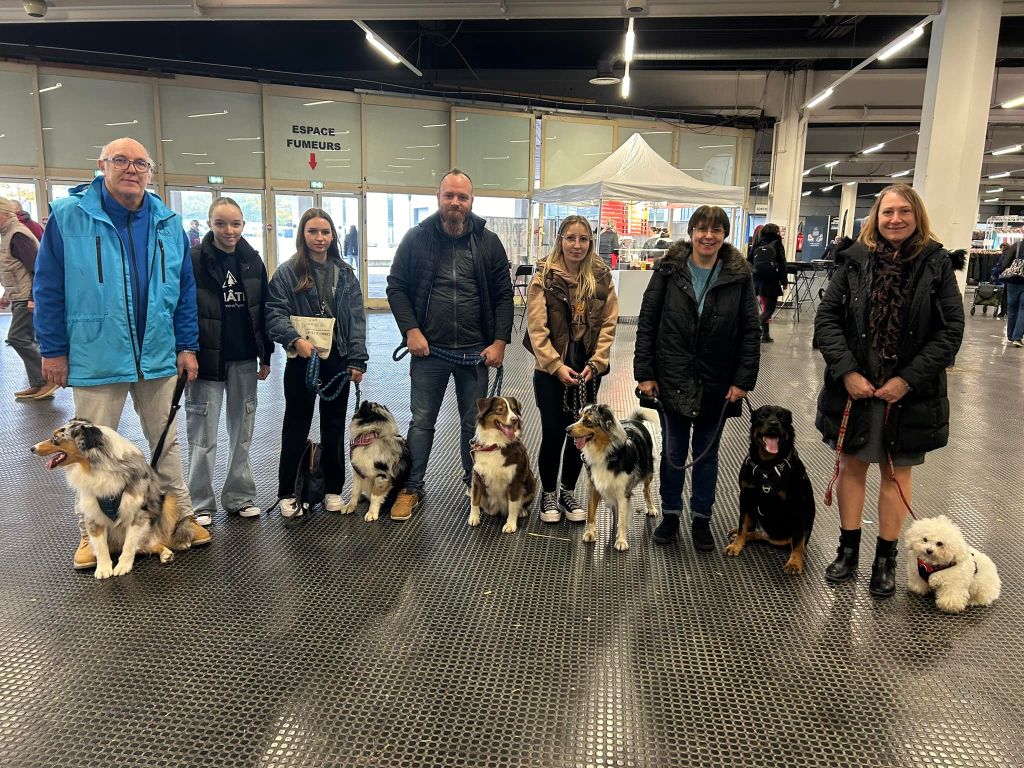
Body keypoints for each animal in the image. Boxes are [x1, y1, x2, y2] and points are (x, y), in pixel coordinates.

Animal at [729, 405, 815, 573]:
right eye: (763, 416)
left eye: (782, 417)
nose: (774, 424)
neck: (767, 465)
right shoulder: (745, 495)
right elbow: (743, 524)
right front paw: (736, 545)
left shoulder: (798, 505)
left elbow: (798, 540)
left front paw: (795, 562)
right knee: (755, 529)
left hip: (785, 535)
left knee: (780, 539)